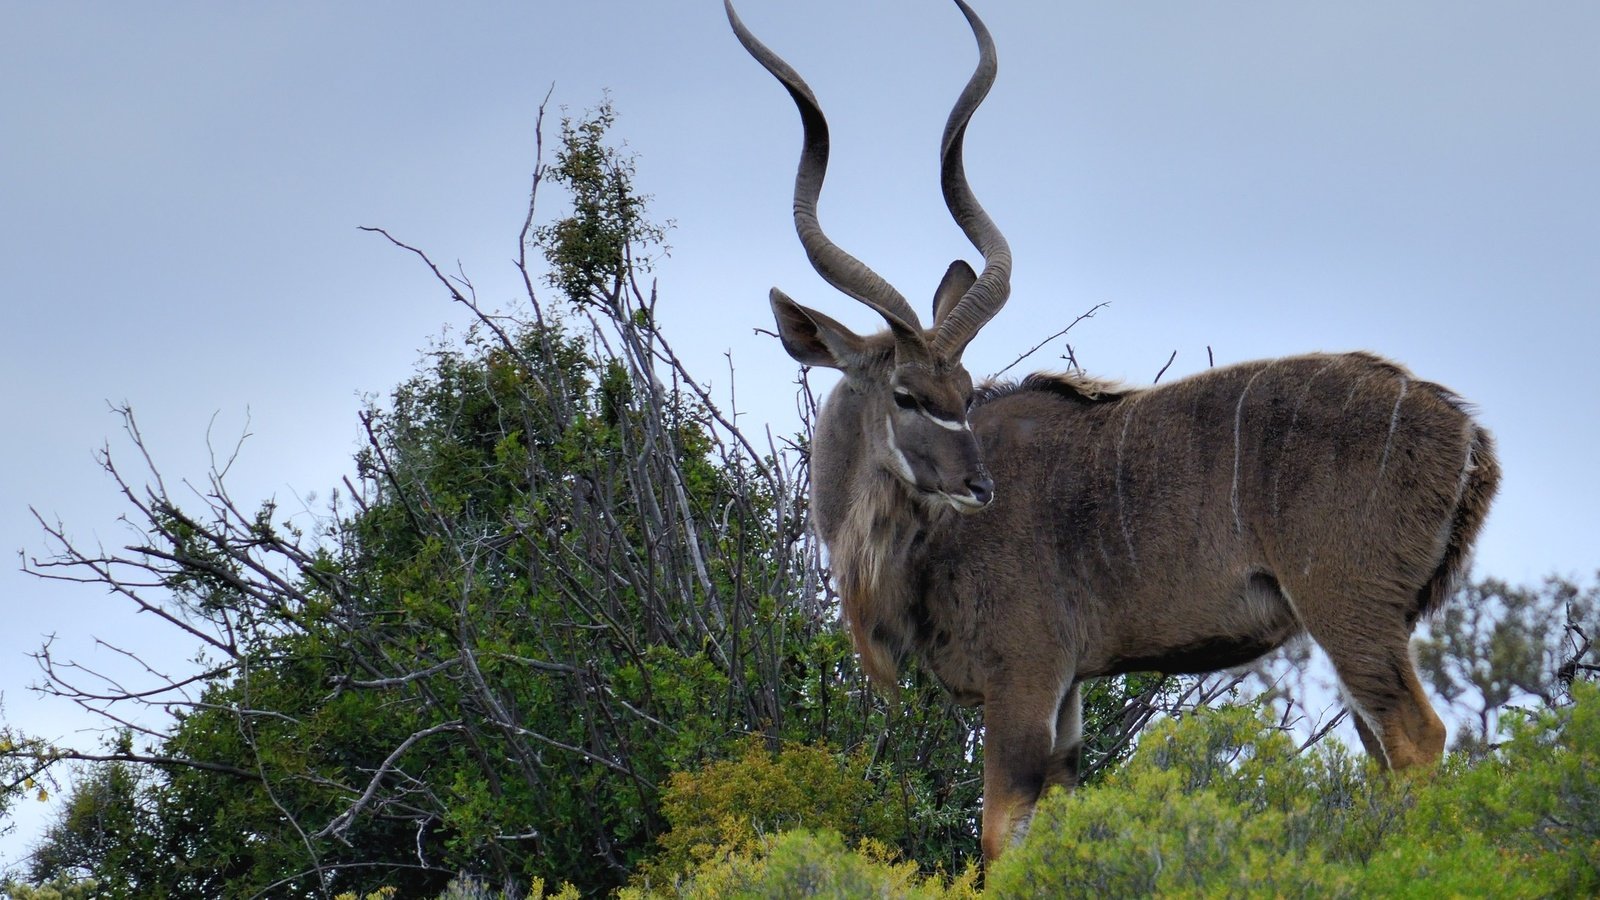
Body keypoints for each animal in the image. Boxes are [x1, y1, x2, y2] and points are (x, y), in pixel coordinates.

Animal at [726, 0, 1497, 851]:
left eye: (962, 389)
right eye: (907, 393)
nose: (978, 486)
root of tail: (1463, 432)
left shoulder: (1025, 678)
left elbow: (1000, 838)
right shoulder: (1067, 695)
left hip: (1348, 611)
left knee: (1416, 738)